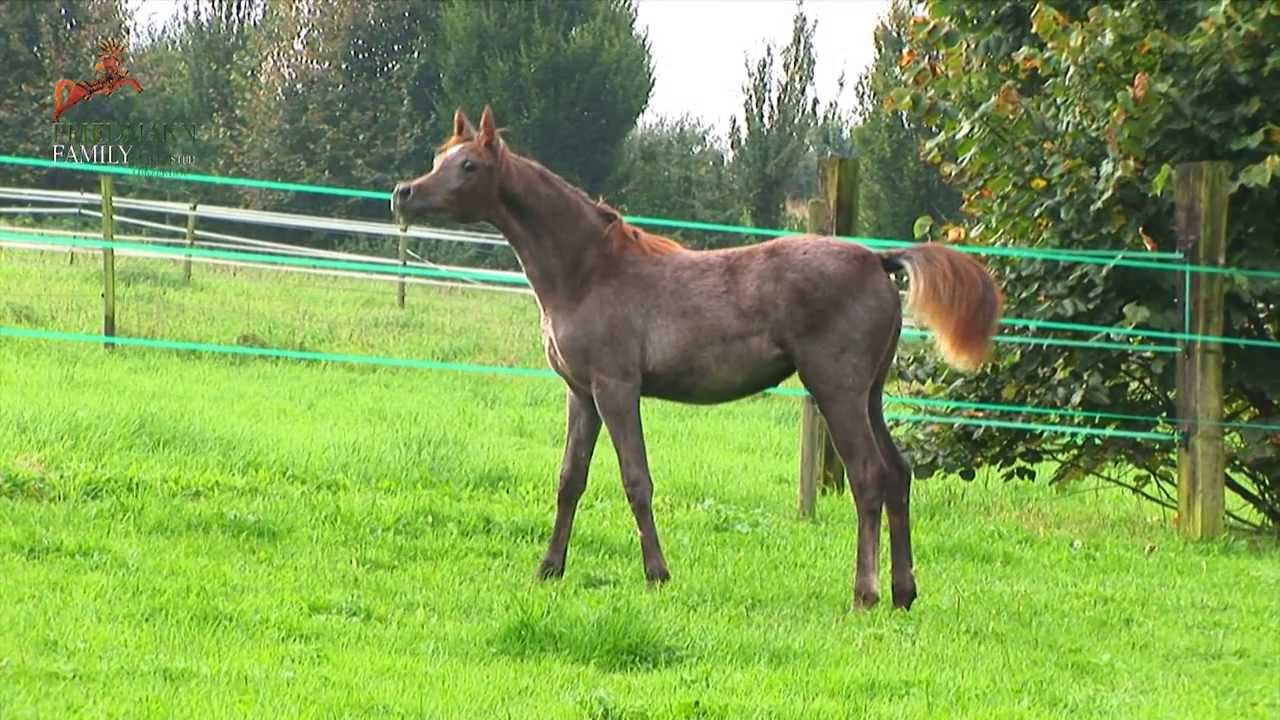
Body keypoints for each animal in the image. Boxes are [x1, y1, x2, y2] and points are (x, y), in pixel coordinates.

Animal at [392, 106, 1002, 610]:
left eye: (469, 165)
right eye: (438, 158)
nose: (403, 193)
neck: (589, 272)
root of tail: (879, 260)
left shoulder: (616, 387)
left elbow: (636, 479)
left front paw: (657, 574)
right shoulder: (581, 393)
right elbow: (570, 479)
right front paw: (549, 569)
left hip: (837, 390)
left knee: (869, 476)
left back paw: (865, 594)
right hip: (870, 393)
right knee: (898, 474)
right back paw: (903, 592)